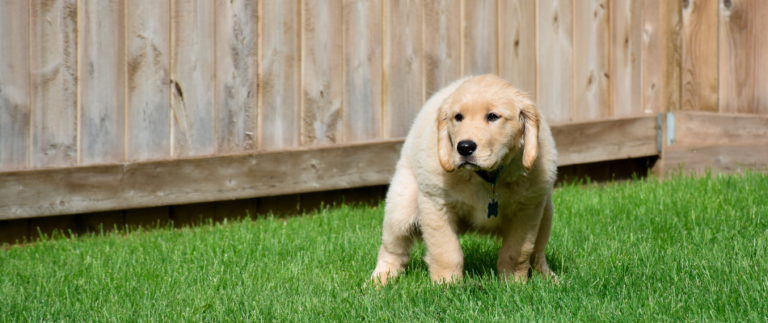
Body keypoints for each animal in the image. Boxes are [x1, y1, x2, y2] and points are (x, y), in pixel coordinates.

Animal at [368, 74, 556, 284]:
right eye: (458, 117)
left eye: (493, 116)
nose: (464, 147)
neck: (486, 177)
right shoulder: (436, 204)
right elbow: (446, 252)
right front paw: (446, 284)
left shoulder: (528, 210)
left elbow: (517, 253)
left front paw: (514, 283)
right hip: (401, 209)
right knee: (392, 250)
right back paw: (379, 281)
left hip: (546, 213)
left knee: (538, 253)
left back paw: (548, 278)